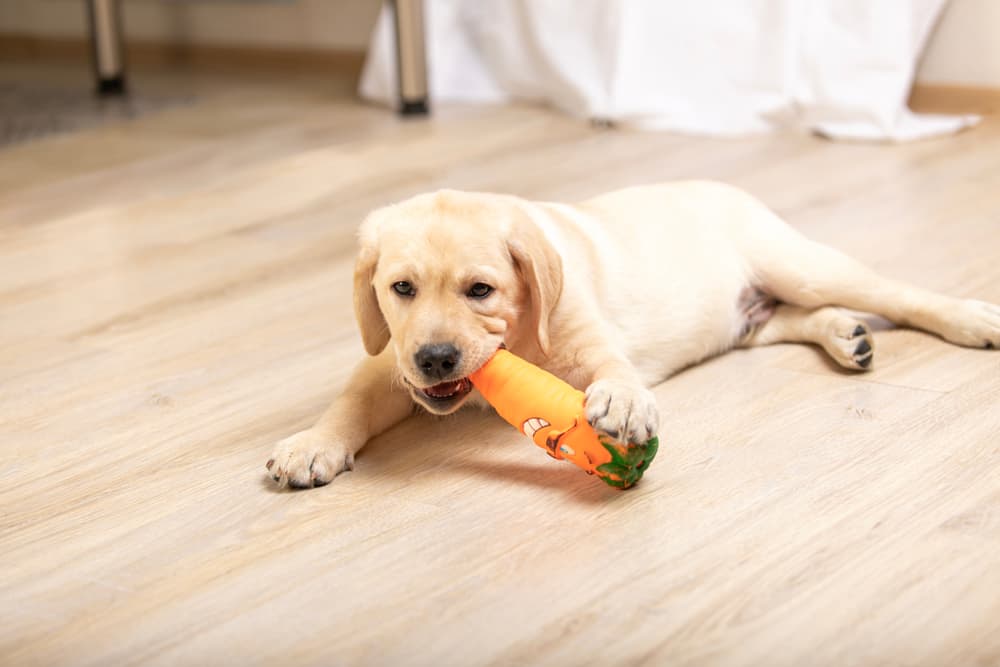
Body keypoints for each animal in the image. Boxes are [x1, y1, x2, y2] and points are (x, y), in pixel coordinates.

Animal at [266, 180, 1000, 488]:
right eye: (401, 289)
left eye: (480, 290)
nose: (437, 357)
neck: (519, 339)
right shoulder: (388, 360)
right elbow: (352, 400)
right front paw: (312, 444)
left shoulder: (585, 334)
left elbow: (612, 368)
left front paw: (621, 402)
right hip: (749, 319)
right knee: (789, 319)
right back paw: (848, 337)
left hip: (800, 264)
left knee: (894, 294)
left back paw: (967, 318)